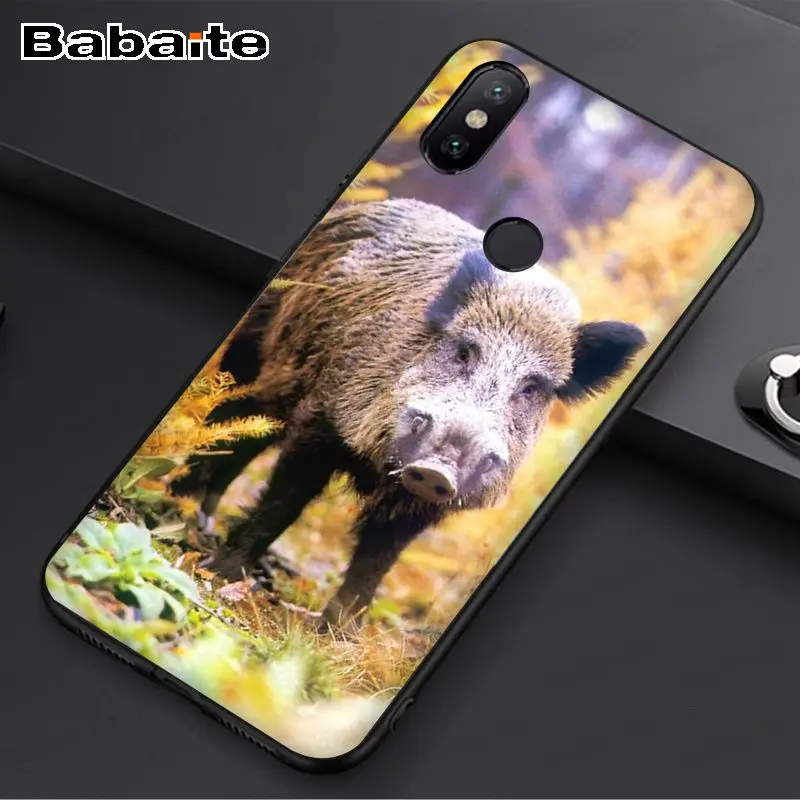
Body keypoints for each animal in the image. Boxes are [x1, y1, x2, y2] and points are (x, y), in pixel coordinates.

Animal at [177, 199, 646, 627]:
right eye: (464, 351)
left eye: (532, 388)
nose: (437, 469)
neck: (381, 469)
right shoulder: (323, 419)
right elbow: (283, 503)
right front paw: (223, 575)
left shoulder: (423, 505)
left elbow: (377, 558)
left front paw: (339, 634)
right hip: (253, 349)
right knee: (227, 419)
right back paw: (181, 504)